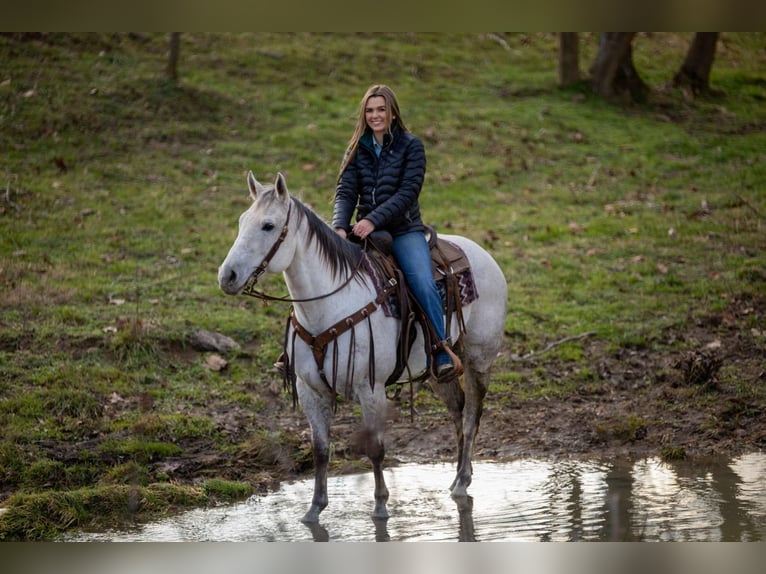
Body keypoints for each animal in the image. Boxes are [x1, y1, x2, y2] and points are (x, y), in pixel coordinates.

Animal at [218, 171, 507, 523]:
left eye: (268, 226)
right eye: (242, 221)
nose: (227, 276)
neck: (329, 306)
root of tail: (483, 254)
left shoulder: (371, 390)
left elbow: (375, 449)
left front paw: (381, 507)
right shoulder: (309, 389)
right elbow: (321, 449)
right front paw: (314, 510)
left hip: (479, 358)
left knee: (472, 415)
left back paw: (463, 481)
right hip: (441, 368)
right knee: (457, 410)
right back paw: (456, 478)